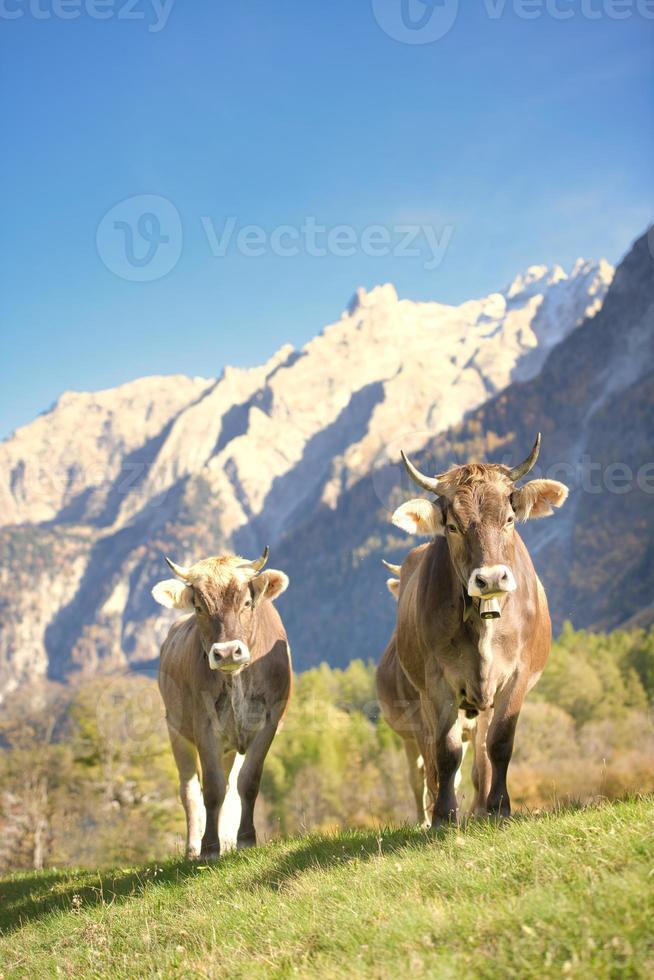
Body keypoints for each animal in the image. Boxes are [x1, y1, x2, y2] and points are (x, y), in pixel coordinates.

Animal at [154, 548, 292, 860]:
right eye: (199, 607)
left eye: (247, 602)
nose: (227, 651)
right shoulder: (204, 727)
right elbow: (212, 790)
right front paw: (209, 848)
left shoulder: (269, 722)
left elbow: (247, 782)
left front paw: (245, 840)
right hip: (176, 730)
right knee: (189, 790)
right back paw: (193, 847)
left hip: (228, 745)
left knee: (229, 786)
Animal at [380, 436, 568, 828]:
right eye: (452, 526)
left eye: (510, 519)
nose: (491, 578)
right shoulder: (437, 683)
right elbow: (446, 752)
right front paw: (444, 816)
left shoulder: (516, 676)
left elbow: (499, 744)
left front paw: (499, 807)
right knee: (431, 765)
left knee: (481, 755)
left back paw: (482, 806)